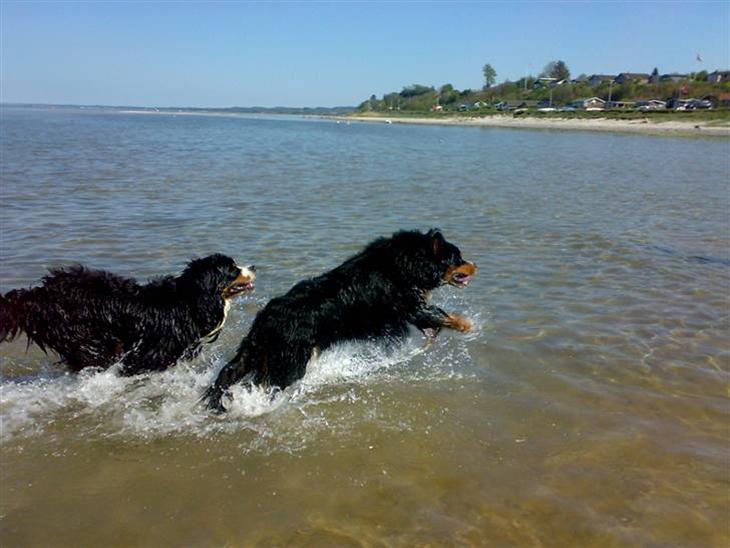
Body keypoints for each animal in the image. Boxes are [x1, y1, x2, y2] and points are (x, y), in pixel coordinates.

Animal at [0, 254, 256, 375]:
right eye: (232, 268)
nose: (253, 266)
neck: (189, 301)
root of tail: (39, 293)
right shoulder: (151, 354)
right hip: (85, 336)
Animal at [204, 229, 476, 412]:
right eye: (458, 258)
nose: (475, 264)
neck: (407, 262)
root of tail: (264, 323)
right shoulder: (407, 303)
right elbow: (439, 314)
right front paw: (466, 325)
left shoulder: (407, 308)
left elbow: (431, 319)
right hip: (290, 363)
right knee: (267, 386)